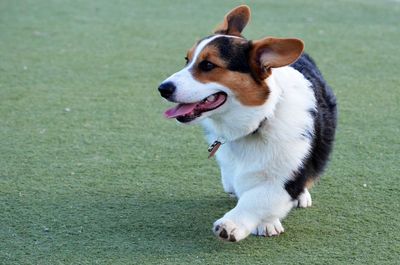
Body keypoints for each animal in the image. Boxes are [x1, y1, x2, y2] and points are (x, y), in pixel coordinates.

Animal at [158, 5, 336, 241]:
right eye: (186, 60)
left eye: (208, 65)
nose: (163, 88)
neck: (259, 121)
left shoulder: (284, 178)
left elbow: (256, 199)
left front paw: (231, 225)